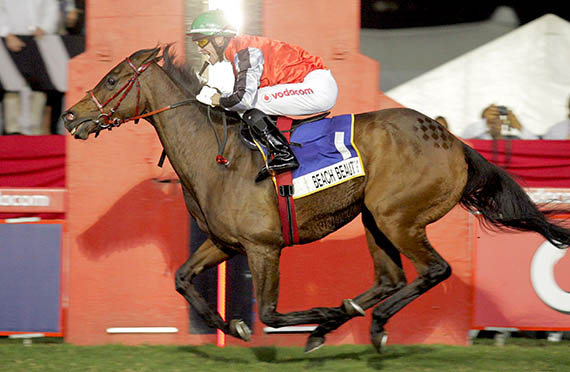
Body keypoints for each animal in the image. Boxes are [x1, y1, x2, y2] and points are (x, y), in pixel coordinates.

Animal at [62, 46, 568, 352]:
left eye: (113, 80)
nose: (69, 116)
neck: (215, 156)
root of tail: (453, 139)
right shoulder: (225, 243)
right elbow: (184, 279)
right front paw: (233, 326)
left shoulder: (263, 247)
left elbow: (270, 310)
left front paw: (310, 314)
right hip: (374, 219)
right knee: (390, 278)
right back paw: (344, 319)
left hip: (397, 217)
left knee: (434, 270)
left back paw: (368, 324)